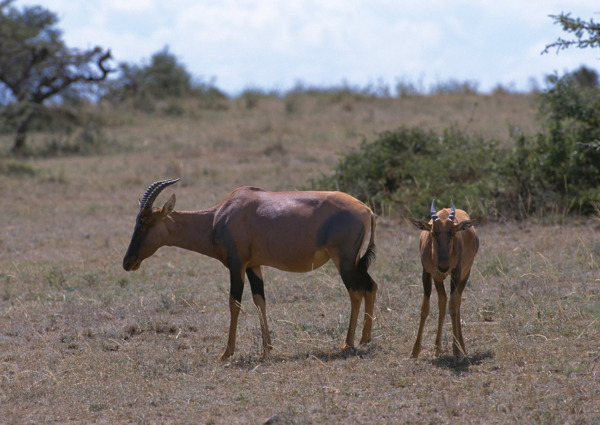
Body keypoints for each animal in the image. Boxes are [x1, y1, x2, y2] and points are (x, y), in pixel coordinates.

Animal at [122, 177, 378, 360]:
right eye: (136, 221)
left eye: (146, 222)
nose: (127, 262)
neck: (220, 215)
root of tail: (366, 210)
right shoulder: (253, 265)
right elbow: (259, 301)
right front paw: (266, 349)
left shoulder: (237, 265)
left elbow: (234, 303)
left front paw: (226, 353)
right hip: (354, 261)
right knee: (371, 286)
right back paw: (365, 339)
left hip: (344, 260)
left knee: (355, 292)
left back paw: (347, 343)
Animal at [408, 200, 478, 360]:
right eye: (433, 232)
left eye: (452, 233)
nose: (443, 266)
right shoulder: (427, 273)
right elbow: (425, 309)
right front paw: (414, 352)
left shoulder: (456, 272)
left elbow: (453, 307)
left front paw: (456, 352)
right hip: (438, 278)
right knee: (443, 301)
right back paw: (437, 349)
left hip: (464, 273)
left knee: (456, 302)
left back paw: (462, 347)